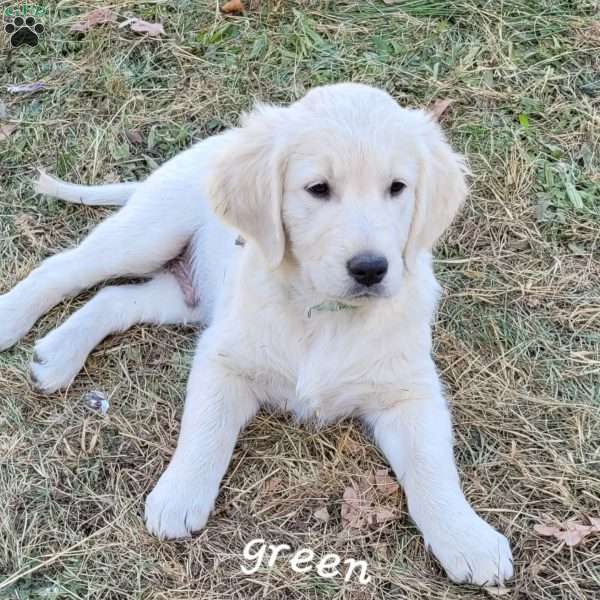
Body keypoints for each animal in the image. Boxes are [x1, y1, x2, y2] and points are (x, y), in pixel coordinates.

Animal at [1, 82, 516, 584]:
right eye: (317, 189)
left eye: (397, 187)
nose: (371, 268)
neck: (324, 311)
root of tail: (215, 144)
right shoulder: (224, 356)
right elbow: (205, 428)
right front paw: (179, 494)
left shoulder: (409, 391)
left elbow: (433, 465)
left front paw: (466, 537)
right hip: (148, 234)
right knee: (65, 268)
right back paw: (12, 316)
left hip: (186, 296)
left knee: (113, 298)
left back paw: (59, 354)